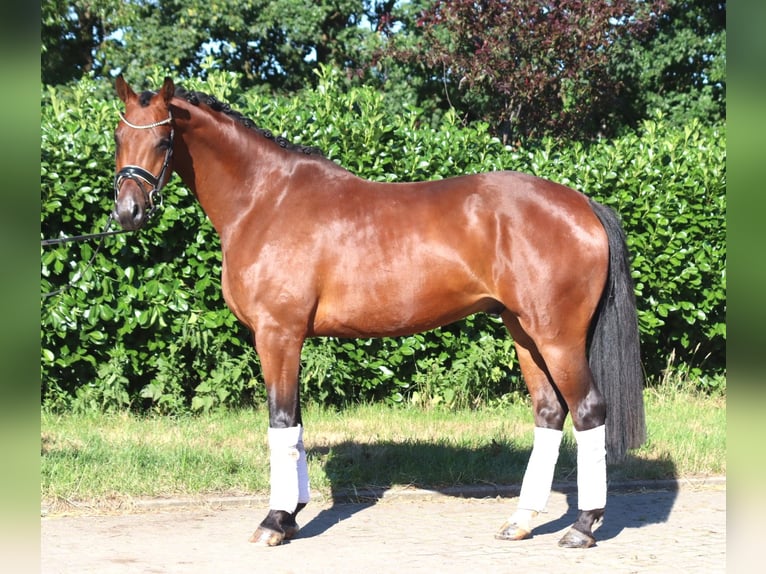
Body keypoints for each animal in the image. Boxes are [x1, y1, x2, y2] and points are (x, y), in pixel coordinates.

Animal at [112, 75, 645, 549]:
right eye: (118, 136)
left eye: (164, 138)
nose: (127, 213)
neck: (265, 199)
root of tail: (583, 205)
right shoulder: (289, 338)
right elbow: (296, 423)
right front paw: (293, 514)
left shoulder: (277, 334)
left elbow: (281, 421)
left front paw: (274, 521)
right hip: (524, 333)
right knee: (550, 412)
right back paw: (520, 521)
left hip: (557, 337)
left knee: (588, 411)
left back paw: (583, 527)